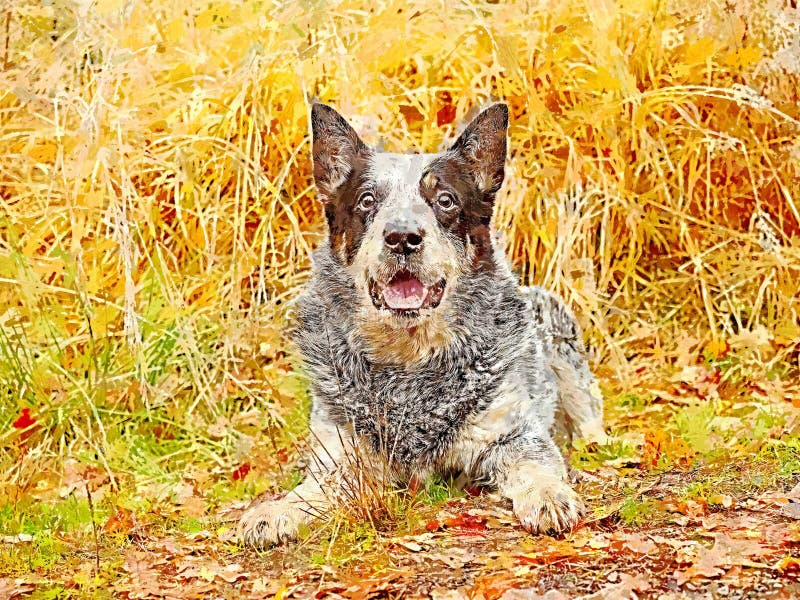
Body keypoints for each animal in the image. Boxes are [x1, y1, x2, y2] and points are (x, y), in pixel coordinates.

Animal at [241, 101, 604, 548]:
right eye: (367, 201)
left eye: (444, 200)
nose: (402, 237)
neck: (407, 362)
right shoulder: (341, 453)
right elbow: (311, 490)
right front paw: (275, 511)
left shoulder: (513, 435)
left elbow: (536, 465)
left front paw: (550, 495)